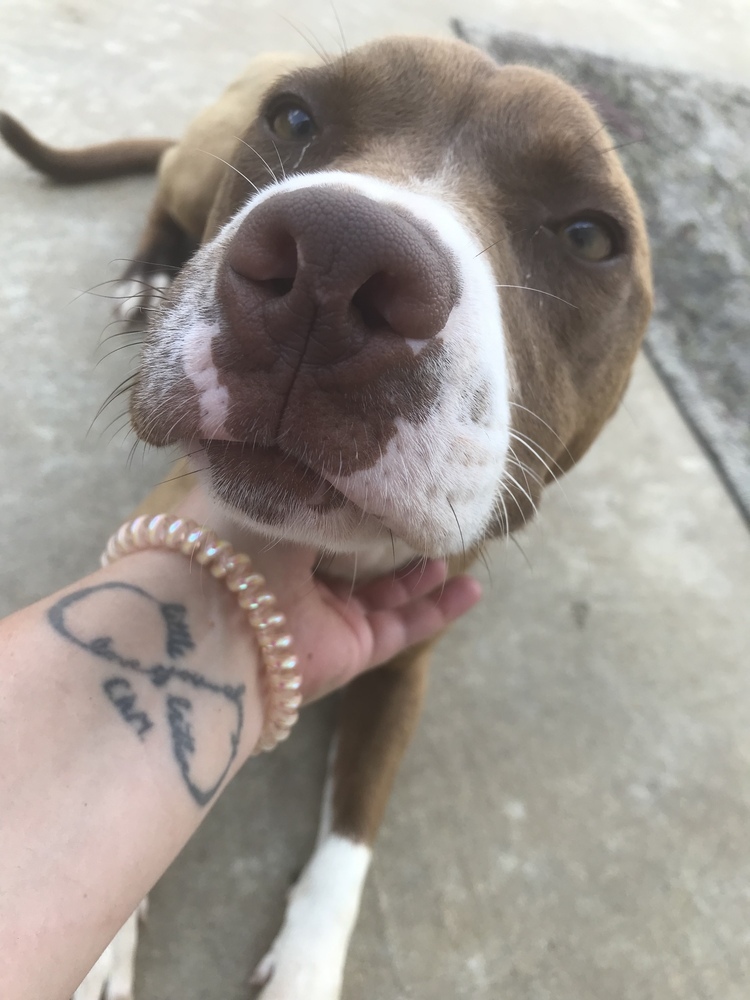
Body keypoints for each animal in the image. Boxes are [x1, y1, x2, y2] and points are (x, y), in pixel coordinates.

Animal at [1, 35, 652, 1000]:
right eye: (295, 118)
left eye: (587, 235)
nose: (334, 258)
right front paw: (108, 938)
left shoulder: (408, 666)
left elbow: (353, 832)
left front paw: (308, 960)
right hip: (198, 159)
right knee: (163, 187)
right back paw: (149, 273)